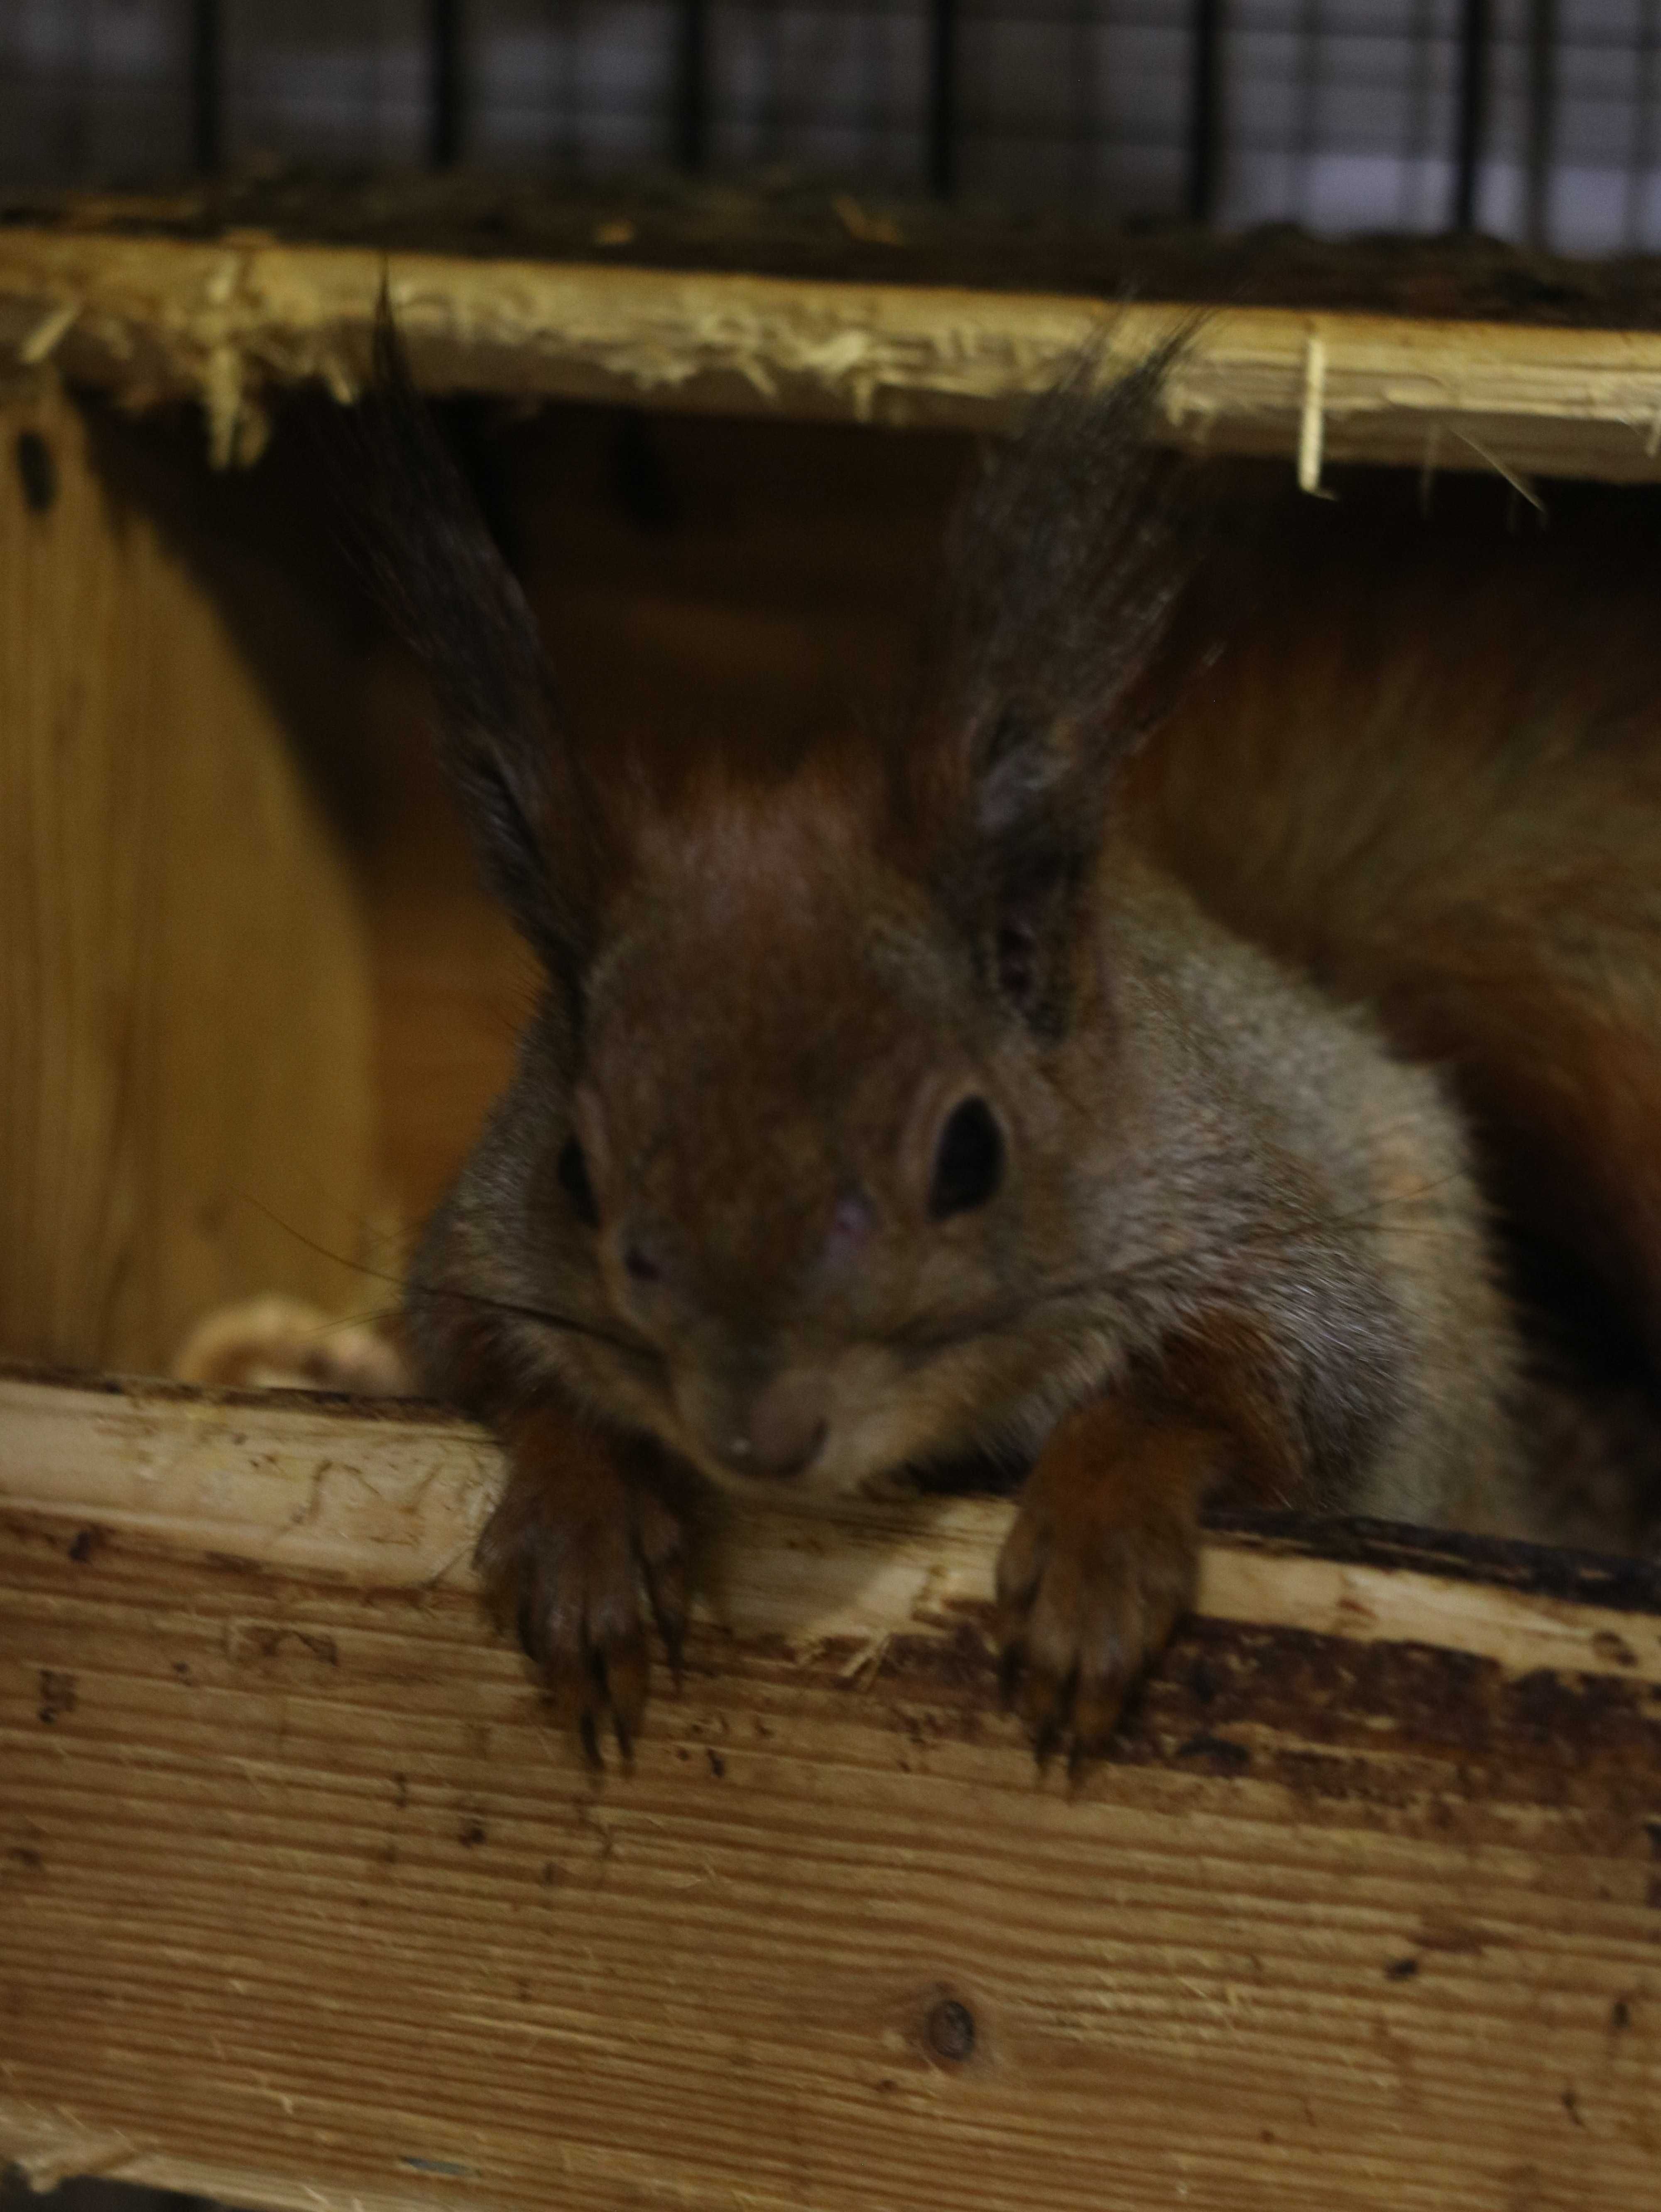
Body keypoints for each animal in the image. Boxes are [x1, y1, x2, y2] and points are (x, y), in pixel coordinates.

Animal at [345, 316, 1654, 1761]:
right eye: (576, 1170)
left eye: (972, 1153)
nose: (758, 1435)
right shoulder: (474, 1249)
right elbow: (499, 1369)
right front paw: (585, 1525)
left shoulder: (1267, 1238)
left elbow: (1232, 1391)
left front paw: (1094, 1545)